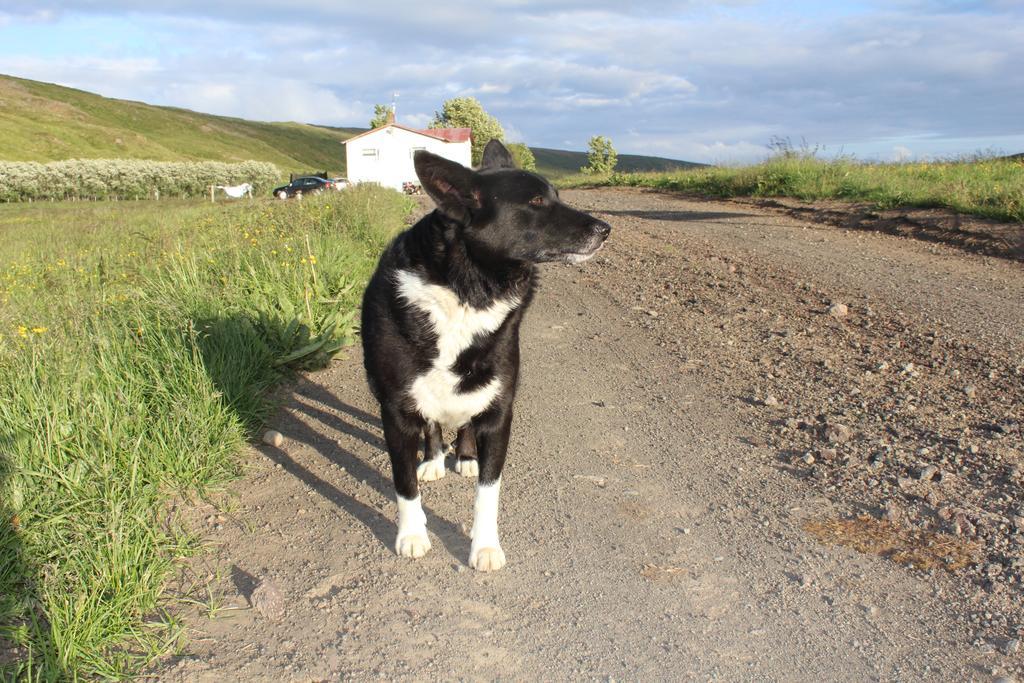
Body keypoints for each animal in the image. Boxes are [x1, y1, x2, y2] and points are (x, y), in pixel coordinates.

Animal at [362, 141, 606, 573]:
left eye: (556, 195)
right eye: (537, 201)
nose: (606, 229)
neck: (470, 289)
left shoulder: (499, 409)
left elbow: (488, 490)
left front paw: (485, 546)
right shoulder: (395, 410)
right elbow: (404, 484)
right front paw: (412, 535)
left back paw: (465, 455)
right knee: (432, 428)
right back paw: (434, 459)